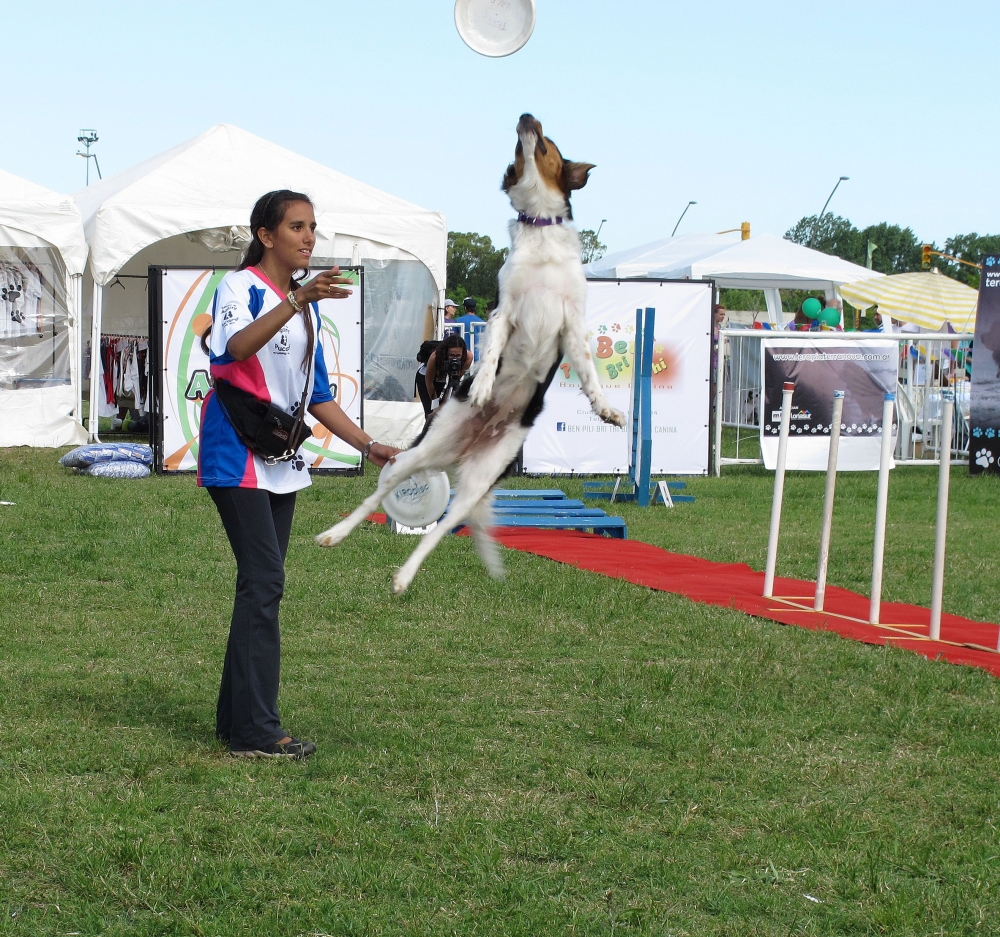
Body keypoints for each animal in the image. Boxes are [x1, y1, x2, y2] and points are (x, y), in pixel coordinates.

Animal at [316, 113, 624, 588]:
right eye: (521, 146)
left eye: (545, 142)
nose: (526, 116)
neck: (541, 239)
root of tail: (464, 446)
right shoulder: (505, 310)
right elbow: (493, 350)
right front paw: (481, 386)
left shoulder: (572, 323)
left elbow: (590, 373)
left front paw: (606, 410)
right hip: (417, 454)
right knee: (376, 497)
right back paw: (335, 534)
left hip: (474, 485)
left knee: (437, 530)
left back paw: (405, 576)